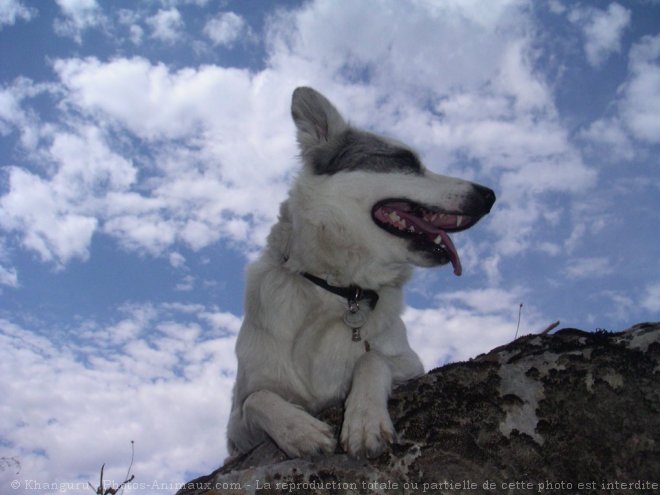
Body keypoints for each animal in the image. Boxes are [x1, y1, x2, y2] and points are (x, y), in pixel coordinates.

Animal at [227, 86, 496, 462]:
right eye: (405, 161)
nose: (489, 195)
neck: (339, 290)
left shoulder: (410, 364)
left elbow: (372, 360)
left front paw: (364, 422)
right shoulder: (236, 432)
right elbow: (258, 399)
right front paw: (300, 430)